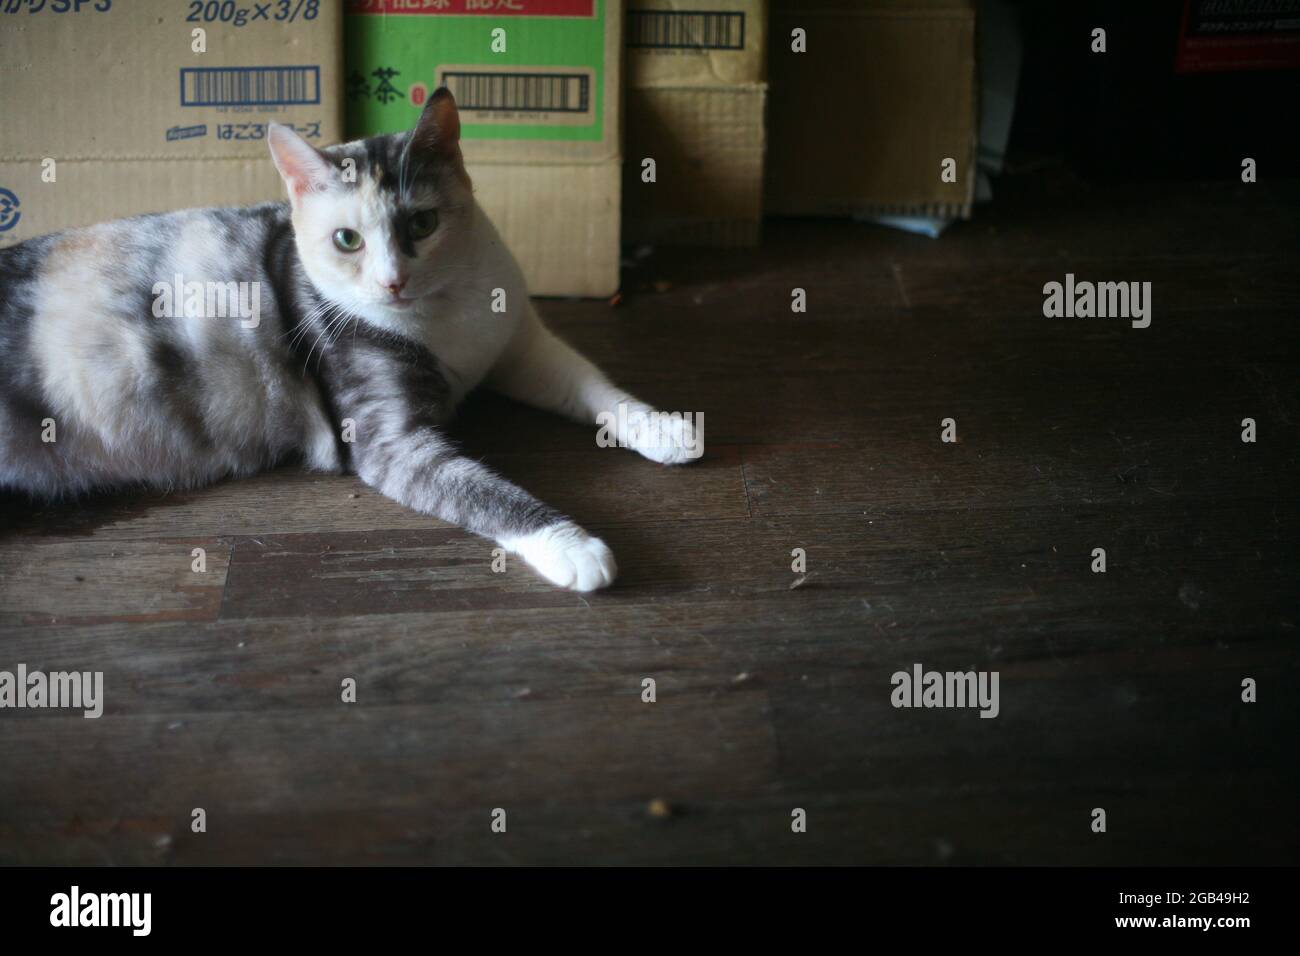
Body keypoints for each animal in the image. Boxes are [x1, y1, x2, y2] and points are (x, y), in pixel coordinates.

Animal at [0, 93, 702, 595]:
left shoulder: (522, 349)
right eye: (346, 240)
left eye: (422, 222)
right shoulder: (389, 440)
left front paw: (665, 428)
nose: (393, 281)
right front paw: (575, 547)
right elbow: (486, 493)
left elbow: (596, 387)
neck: (444, 316)